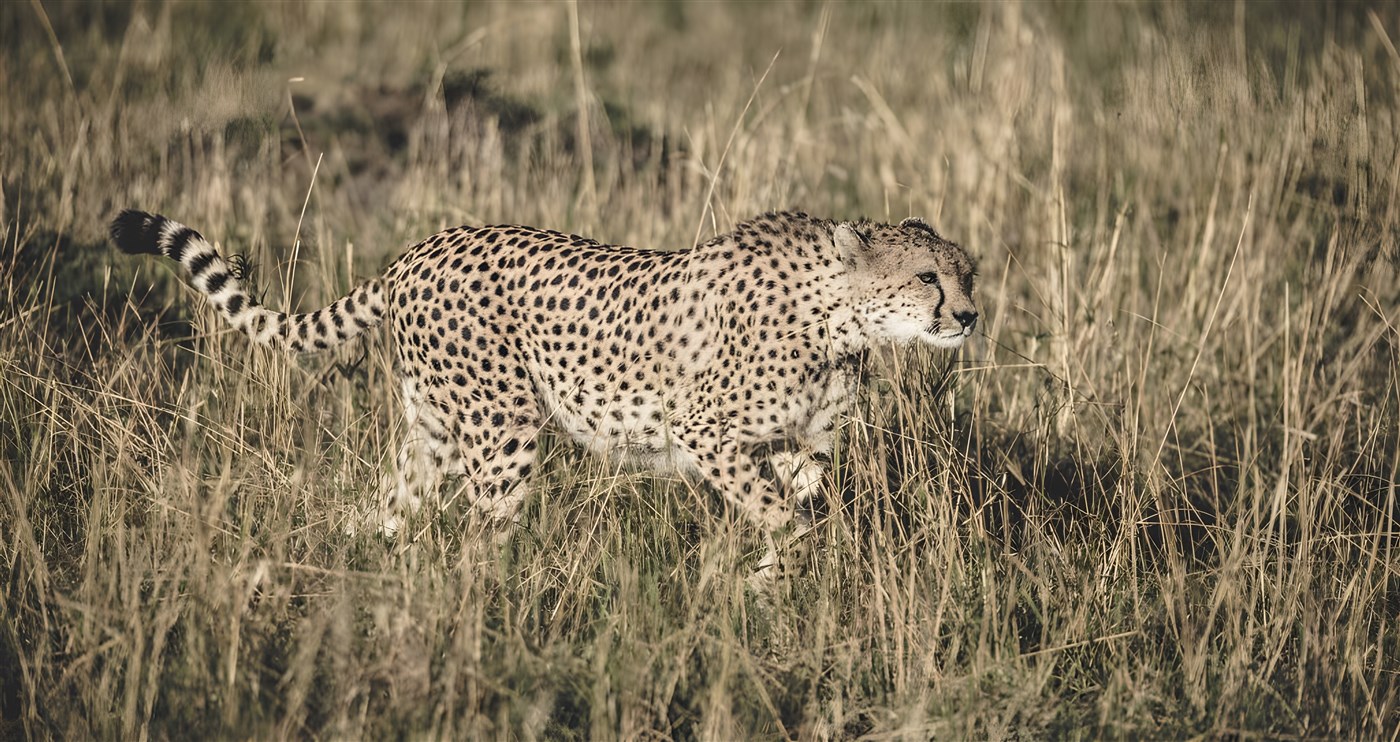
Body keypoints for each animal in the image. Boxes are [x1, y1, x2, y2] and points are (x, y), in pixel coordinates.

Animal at [110, 209, 977, 558]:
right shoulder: (706, 433)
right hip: (502, 431)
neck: (839, 318)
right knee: (477, 541)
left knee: (388, 511)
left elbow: (797, 508)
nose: (969, 316)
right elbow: (783, 519)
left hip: (433, 431)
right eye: (928, 277)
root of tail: (418, 250)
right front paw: (779, 574)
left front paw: (770, 592)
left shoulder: (805, 449)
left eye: (968, 273)